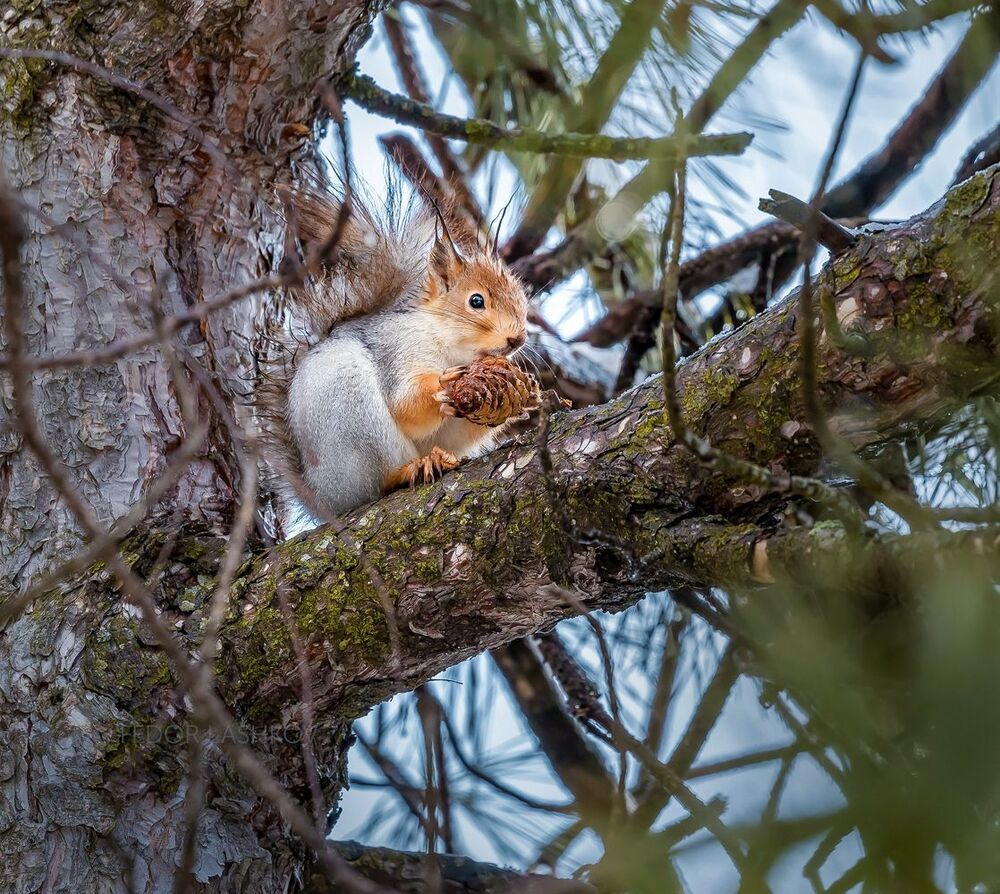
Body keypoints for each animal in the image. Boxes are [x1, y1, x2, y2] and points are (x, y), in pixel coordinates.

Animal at [255, 179, 534, 518]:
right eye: (476, 300)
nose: (518, 340)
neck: (450, 345)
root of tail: (321, 498)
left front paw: (519, 399)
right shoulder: (399, 348)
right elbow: (404, 404)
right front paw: (444, 384)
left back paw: (436, 458)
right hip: (350, 411)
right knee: (376, 482)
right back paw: (406, 470)